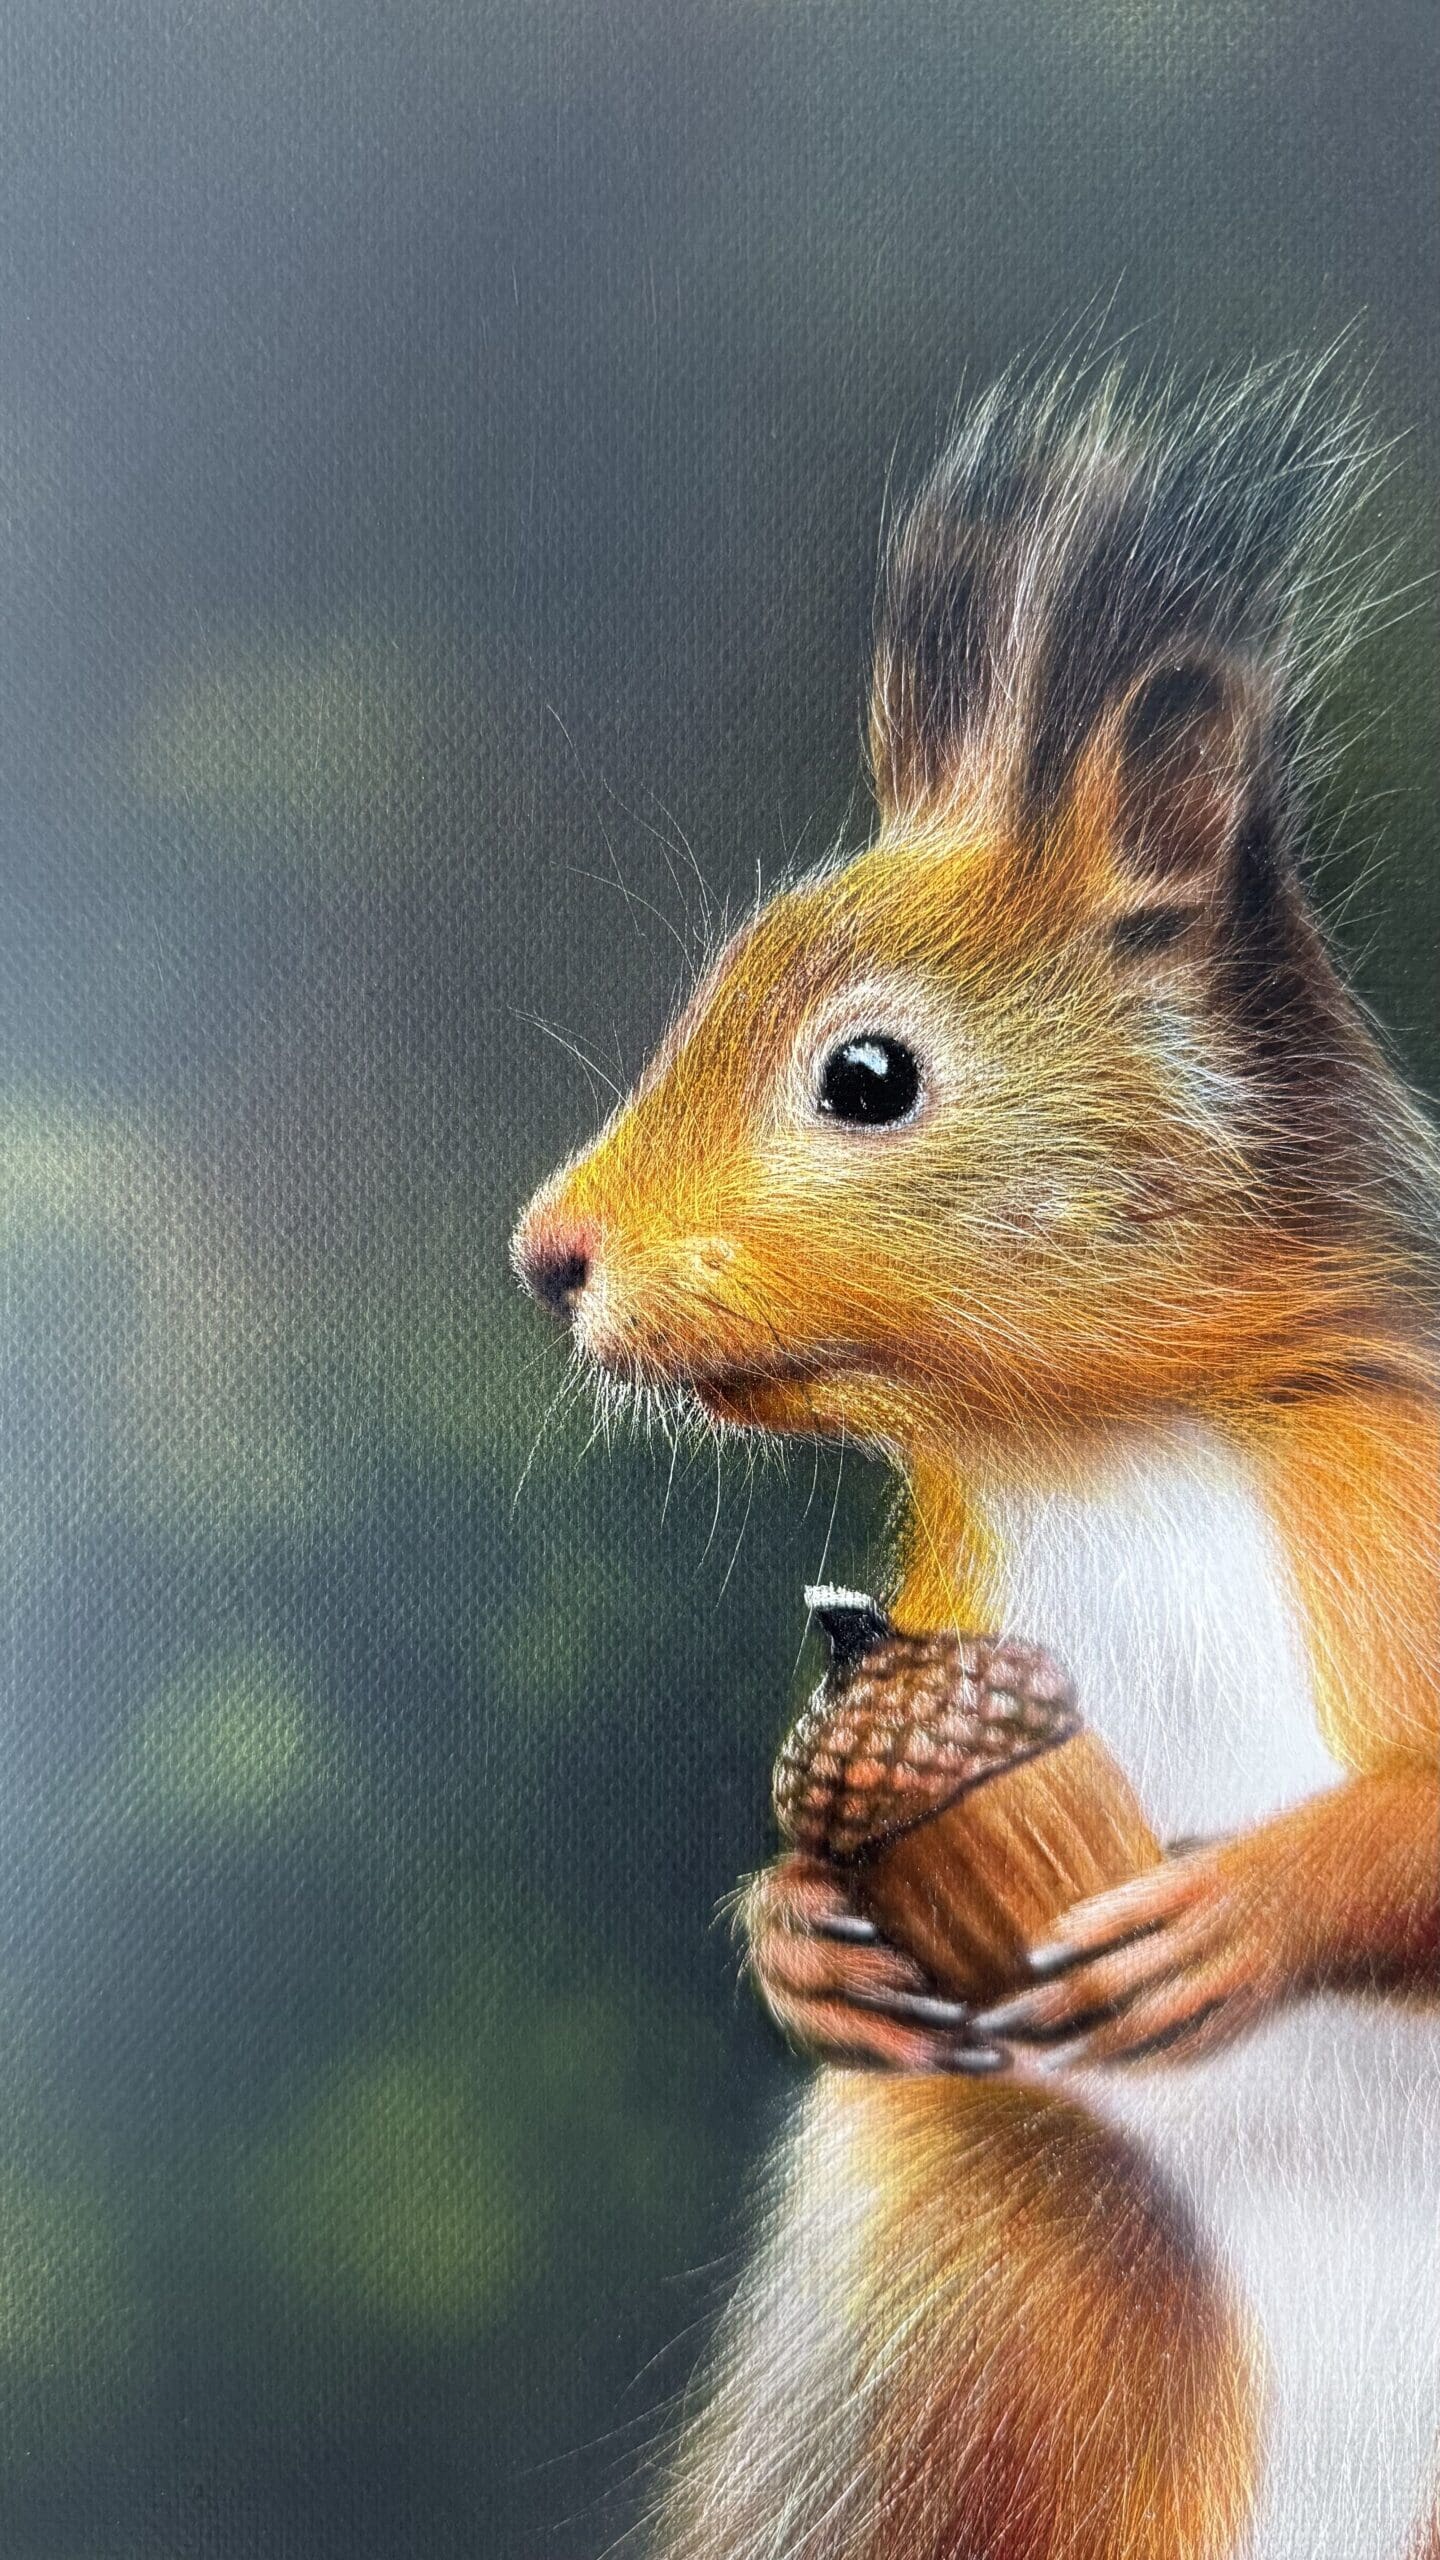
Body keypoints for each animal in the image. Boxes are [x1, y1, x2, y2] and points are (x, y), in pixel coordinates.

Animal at [512, 360, 1440, 2560]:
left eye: (869, 1076)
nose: (545, 1254)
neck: (1116, 1441)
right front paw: (801, 1940)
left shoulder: (1400, 1494)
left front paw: (1244, 1911)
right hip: (982, 2311)